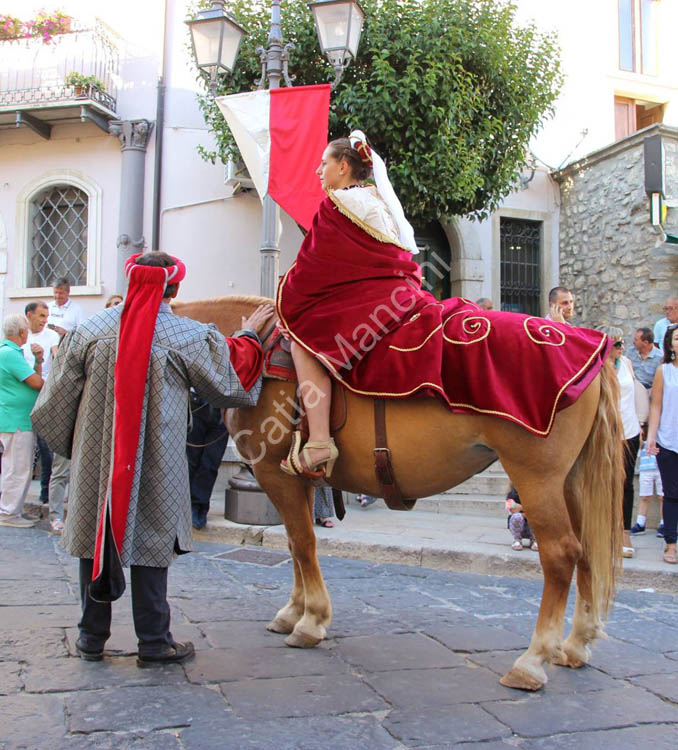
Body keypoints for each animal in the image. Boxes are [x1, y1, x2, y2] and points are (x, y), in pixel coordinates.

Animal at [173, 296, 624, 692]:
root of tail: (588, 347)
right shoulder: (296, 481)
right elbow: (296, 543)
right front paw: (293, 611)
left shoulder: (274, 475)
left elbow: (302, 543)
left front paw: (310, 620)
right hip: (569, 481)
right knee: (586, 549)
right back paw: (575, 645)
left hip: (536, 478)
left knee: (560, 554)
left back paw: (531, 661)